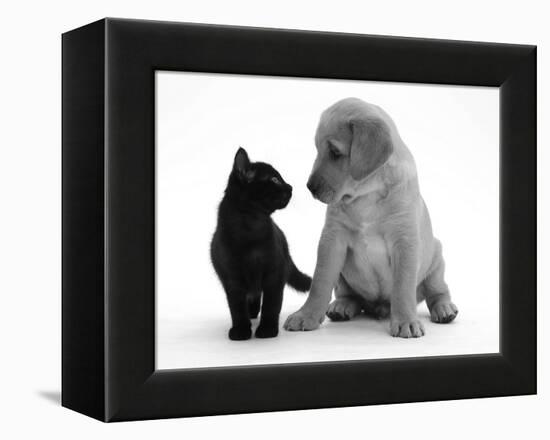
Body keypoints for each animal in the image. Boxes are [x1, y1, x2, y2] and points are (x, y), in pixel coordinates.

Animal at [211, 148, 312, 340]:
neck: (252, 226)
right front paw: (241, 330)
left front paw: (267, 330)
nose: (290, 187)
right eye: (274, 179)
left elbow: (271, 305)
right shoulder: (232, 279)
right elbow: (236, 308)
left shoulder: (275, 273)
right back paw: (251, 314)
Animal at [286, 98, 460, 336]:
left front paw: (406, 321)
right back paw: (342, 306)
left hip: (436, 259)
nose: (309, 187)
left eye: (335, 152)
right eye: (317, 150)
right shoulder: (332, 239)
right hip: (343, 277)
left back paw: (444, 309)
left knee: (437, 291)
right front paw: (305, 315)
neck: (367, 195)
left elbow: (402, 287)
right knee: (349, 295)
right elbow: (320, 282)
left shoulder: (404, 241)